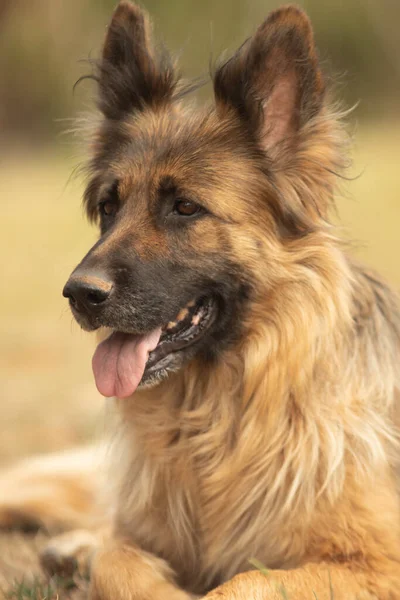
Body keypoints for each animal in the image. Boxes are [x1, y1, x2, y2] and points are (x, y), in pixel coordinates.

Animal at [0, 3, 400, 600]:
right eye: (108, 206)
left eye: (185, 208)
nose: (79, 295)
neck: (221, 408)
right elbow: (116, 559)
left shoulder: (376, 565)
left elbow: (242, 582)